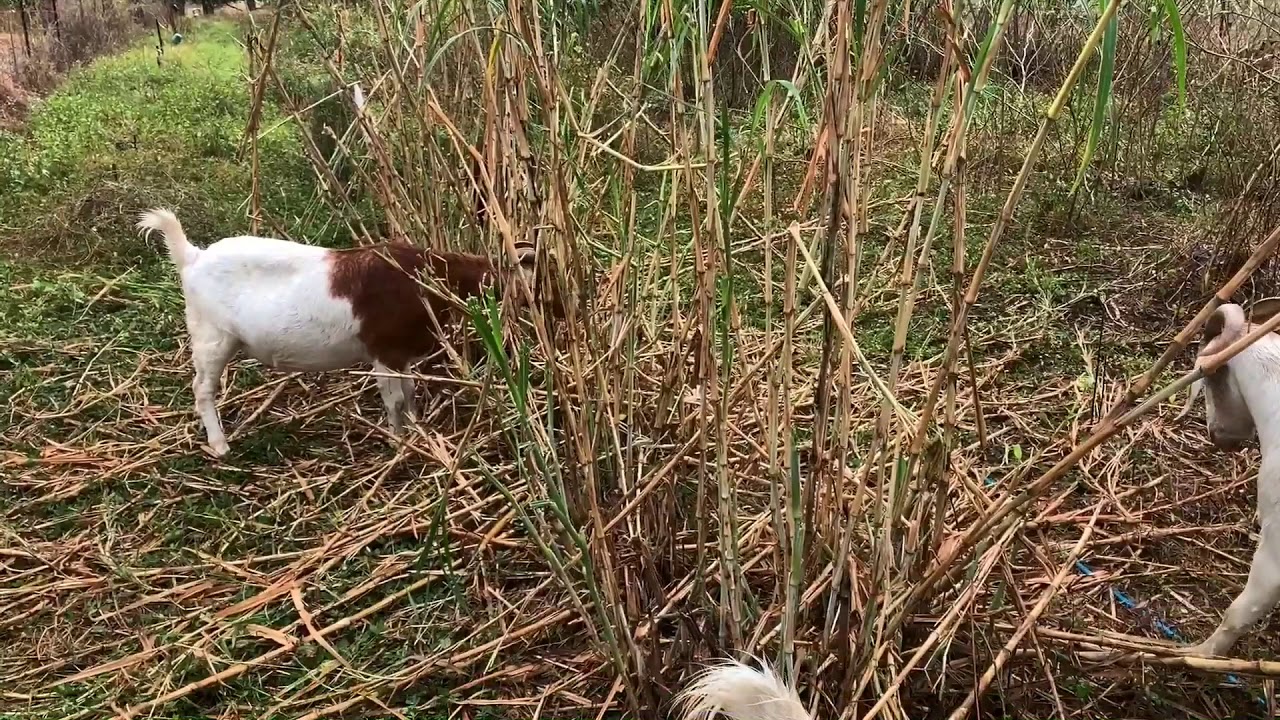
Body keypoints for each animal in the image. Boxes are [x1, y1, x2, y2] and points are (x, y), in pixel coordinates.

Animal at [137, 208, 558, 457]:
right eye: (534, 274)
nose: (553, 306)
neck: (427, 278)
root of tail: (192, 256)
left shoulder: (401, 354)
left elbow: (409, 392)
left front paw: (417, 431)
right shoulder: (383, 351)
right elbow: (394, 399)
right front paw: (399, 443)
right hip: (211, 335)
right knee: (202, 388)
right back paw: (220, 444)